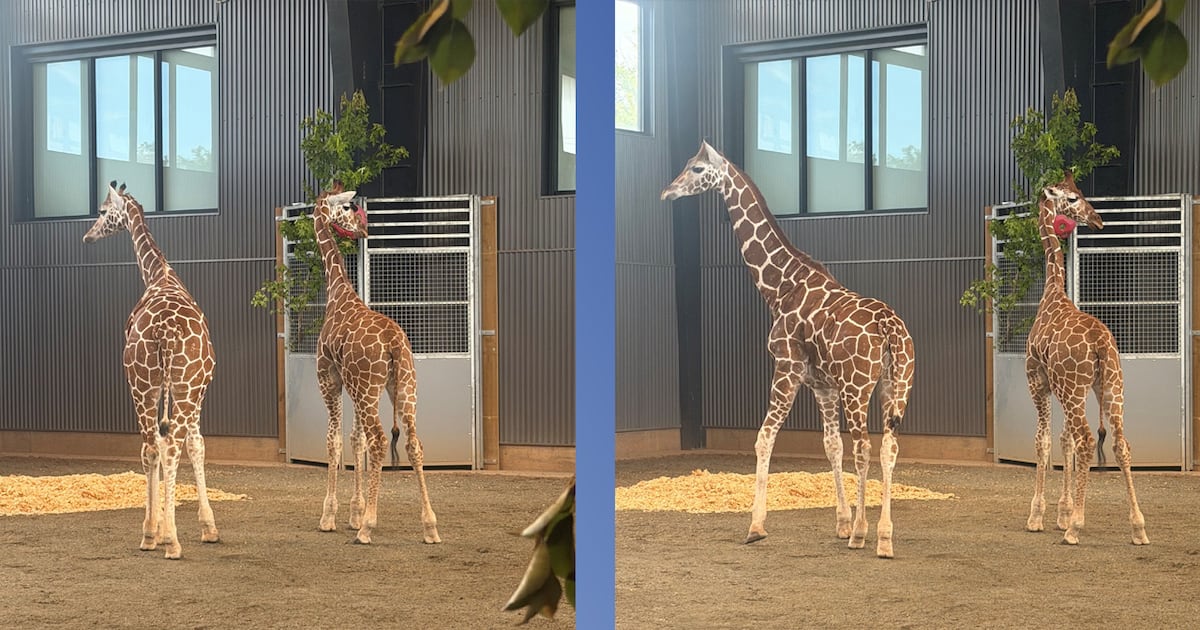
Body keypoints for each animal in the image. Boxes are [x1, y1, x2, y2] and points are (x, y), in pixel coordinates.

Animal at [82, 182, 219, 560]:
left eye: (102, 211)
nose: (87, 236)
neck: (160, 274)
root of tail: (165, 332)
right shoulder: (192, 389)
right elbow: (196, 444)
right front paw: (207, 527)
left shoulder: (180, 389)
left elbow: (188, 444)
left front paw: (201, 527)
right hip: (173, 385)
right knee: (166, 445)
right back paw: (167, 538)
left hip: (145, 384)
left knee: (153, 446)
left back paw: (152, 535)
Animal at [311, 184, 440, 545]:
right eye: (348, 207)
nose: (363, 230)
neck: (338, 292)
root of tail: (394, 343)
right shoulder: (353, 386)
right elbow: (356, 440)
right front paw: (353, 512)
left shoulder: (329, 379)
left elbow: (335, 441)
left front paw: (332, 516)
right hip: (404, 387)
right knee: (413, 443)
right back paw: (430, 526)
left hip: (371, 389)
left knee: (382, 441)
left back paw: (368, 526)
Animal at [661, 141, 915, 558]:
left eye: (697, 169)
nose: (668, 192)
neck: (780, 286)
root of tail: (889, 327)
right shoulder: (822, 385)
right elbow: (831, 446)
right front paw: (841, 523)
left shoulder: (787, 367)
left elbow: (765, 438)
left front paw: (756, 526)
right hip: (896, 385)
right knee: (888, 447)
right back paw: (883, 536)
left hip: (858, 387)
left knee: (865, 446)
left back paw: (864, 533)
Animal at [1023, 172, 1149, 545]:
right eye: (1073, 198)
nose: (1098, 219)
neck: (1052, 293)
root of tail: (1100, 345)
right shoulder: (1061, 389)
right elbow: (1064, 441)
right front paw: (1062, 512)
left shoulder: (1038, 382)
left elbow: (1044, 441)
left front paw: (1040, 516)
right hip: (1110, 387)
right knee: (1120, 443)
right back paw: (1138, 527)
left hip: (1074, 388)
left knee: (1089, 439)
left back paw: (1076, 528)